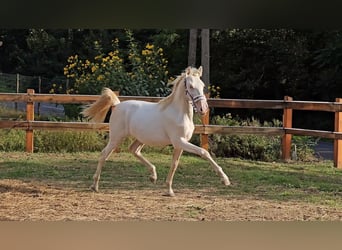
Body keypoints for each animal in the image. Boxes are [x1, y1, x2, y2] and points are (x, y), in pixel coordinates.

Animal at [82, 67, 230, 197]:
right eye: (191, 86)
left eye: (202, 86)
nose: (203, 108)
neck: (179, 113)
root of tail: (117, 105)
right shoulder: (179, 142)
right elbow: (204, 152)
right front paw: (225, 180)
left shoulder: (180, 145)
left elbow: (174, 165)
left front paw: (169, 191)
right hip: (116, 138)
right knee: (104, 154)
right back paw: (94, 186)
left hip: (140, 139)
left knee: (133, 150)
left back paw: (153, 176)